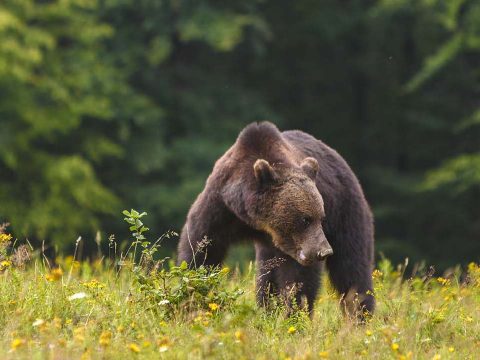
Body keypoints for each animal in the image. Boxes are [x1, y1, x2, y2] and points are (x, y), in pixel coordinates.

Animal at [176, 122, 376, 316]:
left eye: (321, 217)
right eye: (305, 219)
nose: (324, 251)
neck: (256, 221)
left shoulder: (298, 245)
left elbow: (299, 279)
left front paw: (294, 312)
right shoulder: (221, 207)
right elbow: (202, 247)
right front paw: (191, 298)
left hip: (346, 209)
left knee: (352, 265)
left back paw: (360, 314)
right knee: (266, 275)